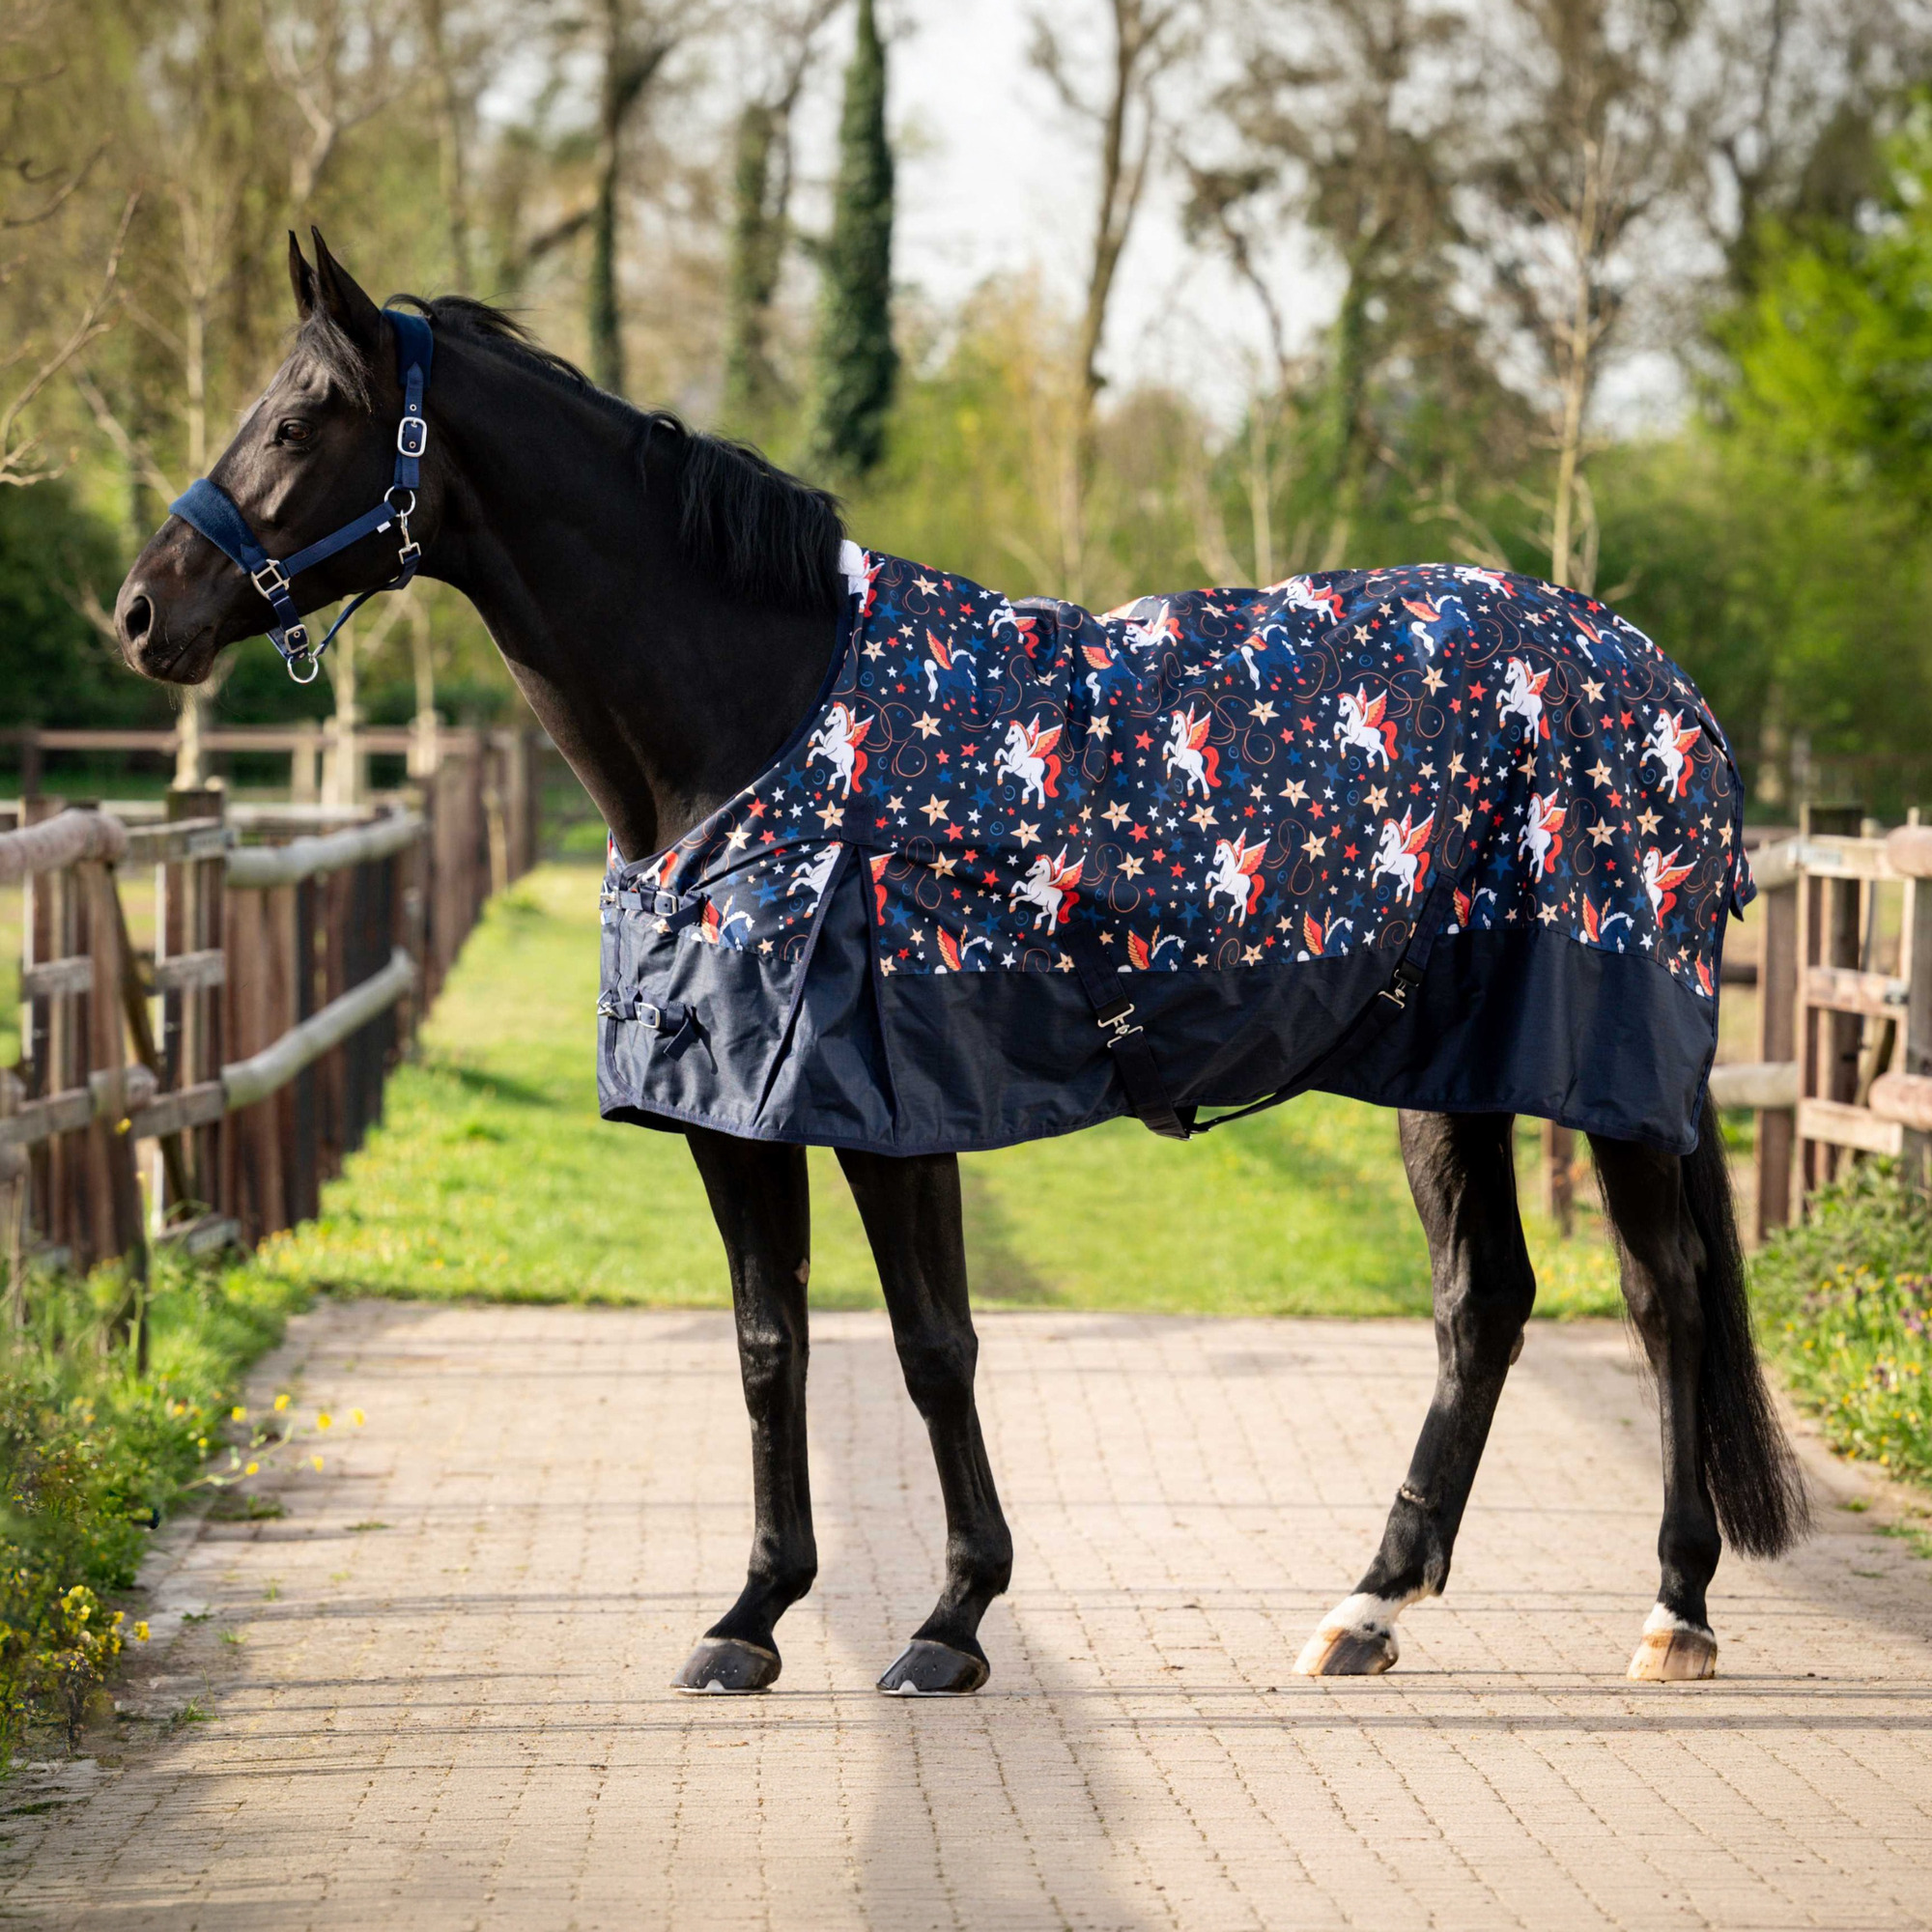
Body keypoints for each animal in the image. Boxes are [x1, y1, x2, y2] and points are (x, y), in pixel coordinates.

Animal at [114, 233, 1807, 1696]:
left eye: (303, 417)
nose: (141, 612)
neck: (763, 726)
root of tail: (1653, 679)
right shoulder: (733, 1113)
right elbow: (770, 1348)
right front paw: (751, 1616)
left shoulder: (893, 1101)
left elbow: (933, 1350)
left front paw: (950, 1622)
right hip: (1449, 1073)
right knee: (1486, 1303)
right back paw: (1368, 1609)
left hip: (1603, 1068)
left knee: (1662, 1296)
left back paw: (1674, 1611)